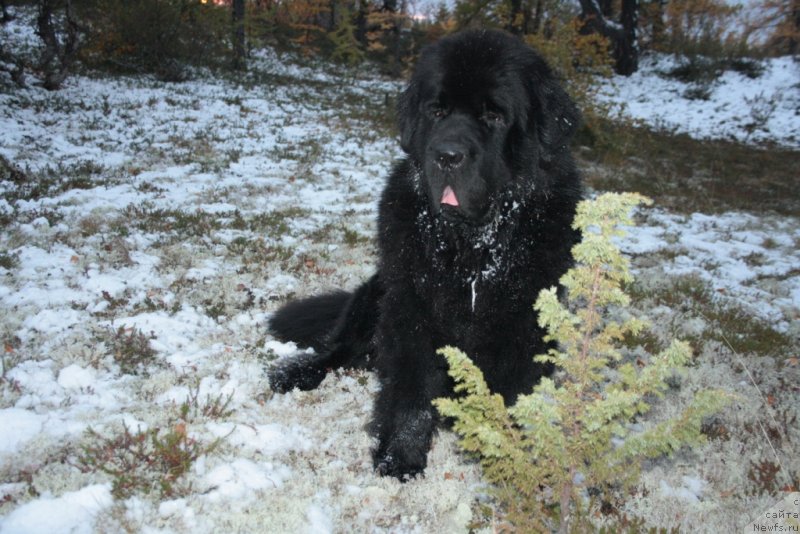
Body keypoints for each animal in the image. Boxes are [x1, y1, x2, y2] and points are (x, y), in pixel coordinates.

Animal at [268, 28, 580, 482]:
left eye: (495, 116)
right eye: (437, 111)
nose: (447, 155)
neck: (472, 249)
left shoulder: (525, 320)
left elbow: (509, 390)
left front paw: (509, 457)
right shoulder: (409, 304)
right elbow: (410, 389)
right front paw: (400, 455)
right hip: (375, 292)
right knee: (337, 349)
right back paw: (297, 372)